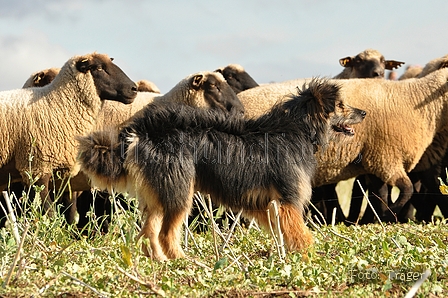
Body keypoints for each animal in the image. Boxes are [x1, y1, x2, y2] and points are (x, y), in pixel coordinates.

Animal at [76, 77, 364, 260]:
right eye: (340, 106)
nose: (363, 113)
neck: (297, 129)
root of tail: (142, 132)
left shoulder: (267, 204)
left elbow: (283, 234)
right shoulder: (287, 201)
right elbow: (302, 236)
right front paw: (311, 258)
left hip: (161, 192)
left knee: (149, 233)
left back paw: (160, 262)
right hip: (180, 191)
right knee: (167, 234)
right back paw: (183, 261)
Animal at [242, 67, 448, 221]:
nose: (363, 114)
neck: (415, 102)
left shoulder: (375, 159)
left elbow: (380, 194)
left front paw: (379, 217)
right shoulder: (386, 158)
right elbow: (407, 190)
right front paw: (389, 215)